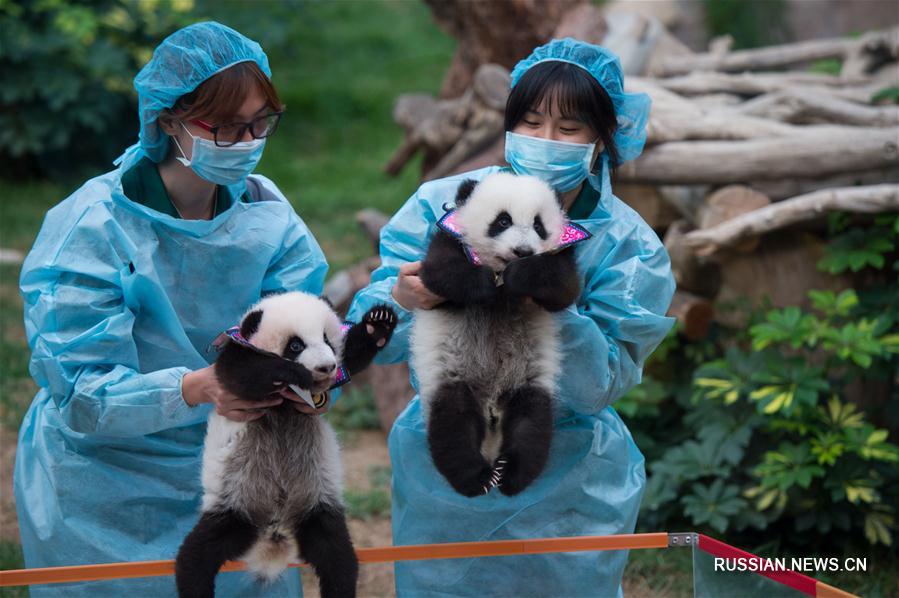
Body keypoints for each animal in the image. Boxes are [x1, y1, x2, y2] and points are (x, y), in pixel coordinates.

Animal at [178, 292, 396, 596]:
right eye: (295, 345)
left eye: (327, 339)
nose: (327, 367)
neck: (285, 405)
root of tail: (275, 524)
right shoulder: (236, 358)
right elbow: (243, 375)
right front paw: (294, 373)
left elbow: (352, 358)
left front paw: (377, 324)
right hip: (234, 501)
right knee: (197, 556)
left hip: (316, 502)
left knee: (336, 555)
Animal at [414, 175, 588, 502]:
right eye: (503, 221)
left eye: (538, 225)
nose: (522, 251)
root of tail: (492, 408)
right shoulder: (450, 240)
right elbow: (442, 273)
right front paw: (483, 284)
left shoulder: (560, 258)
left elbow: (563, 284)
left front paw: (521, 275)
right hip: (454, 376)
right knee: (453, 425)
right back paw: (476, 477)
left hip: (529, 381)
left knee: (531, 424)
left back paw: (510, 473)